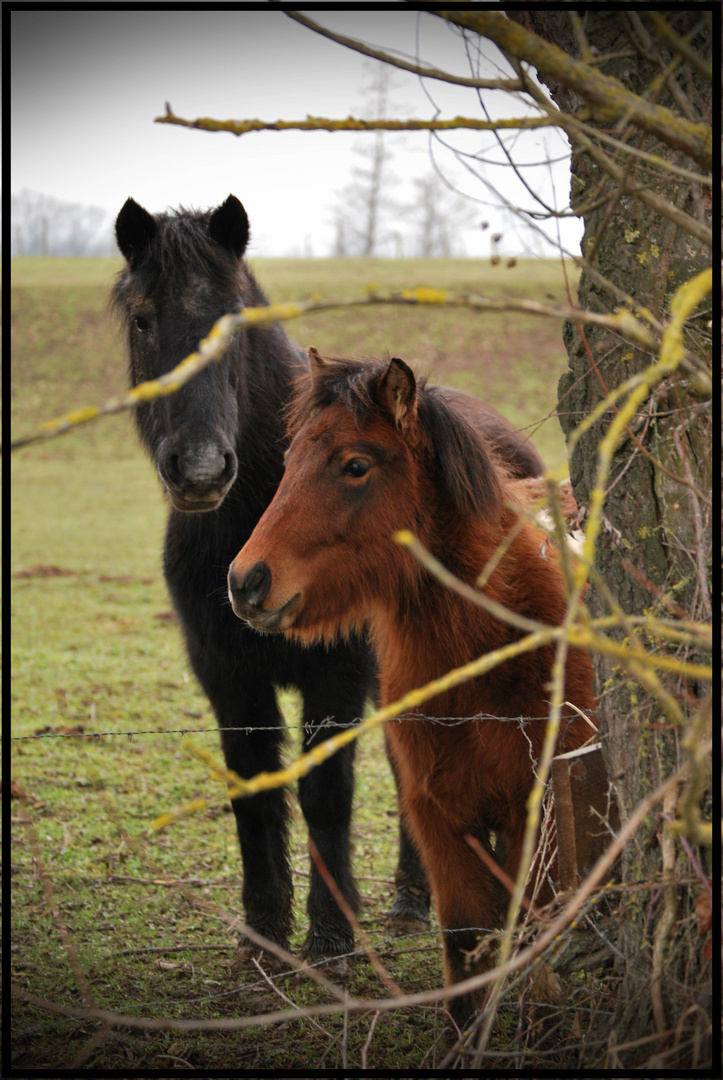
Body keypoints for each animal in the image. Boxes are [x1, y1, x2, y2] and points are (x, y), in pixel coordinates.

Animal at [112, 198, 540, 967]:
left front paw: (332, 933)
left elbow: (324, 792)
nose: (200, 468)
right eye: (142, 319)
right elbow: (253, 793)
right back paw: (414, 897)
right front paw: (262, 931)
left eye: (233, 317)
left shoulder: (335, 674)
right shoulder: (229, 678)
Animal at [228, 352, 596, 1019]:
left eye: (355, 465)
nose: (246, 582)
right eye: (289, 459)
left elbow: (535, 943)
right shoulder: (441, 819)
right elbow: (466, 949)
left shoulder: (541, 819)